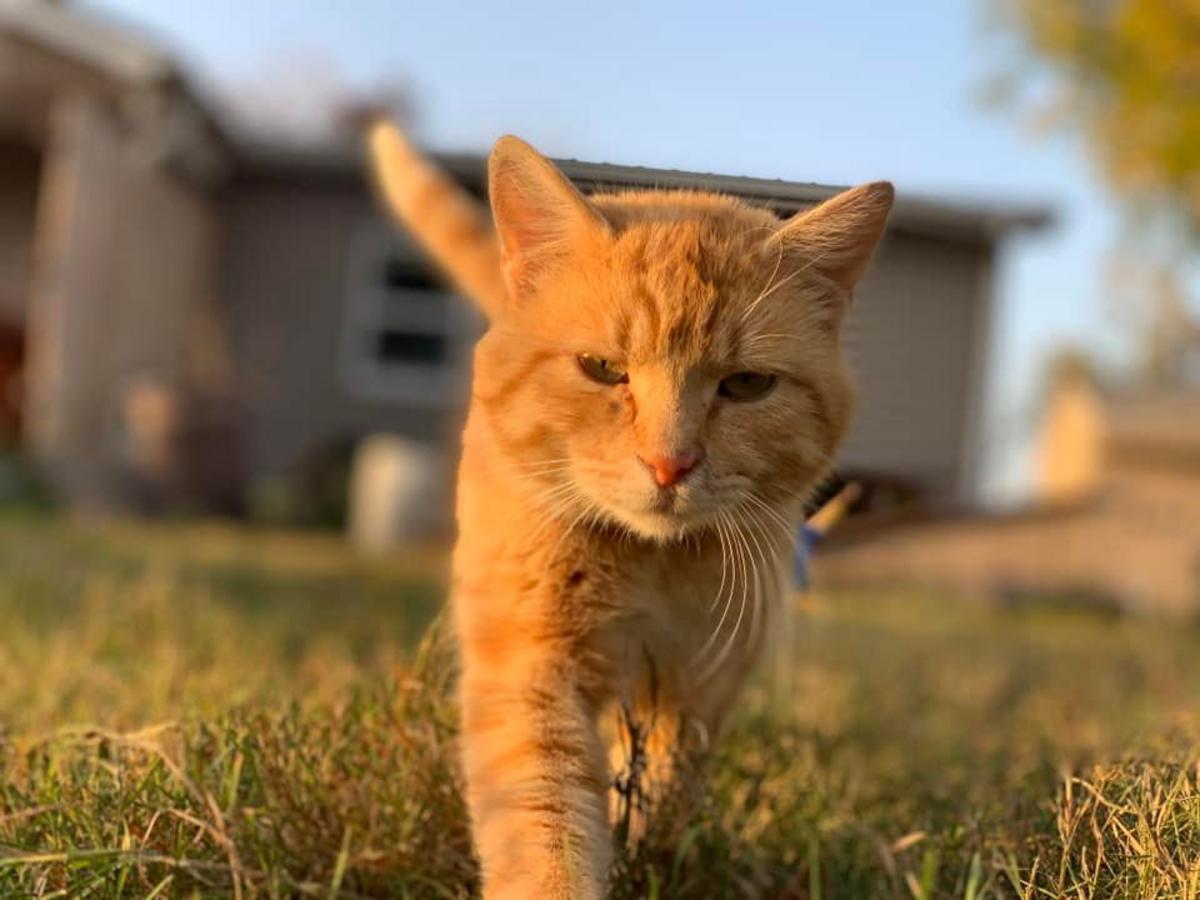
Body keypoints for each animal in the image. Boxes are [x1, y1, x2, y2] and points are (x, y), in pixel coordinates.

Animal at [367, 125, 892, 900]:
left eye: (746, 384)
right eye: (603, 369)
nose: (669, 464)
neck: (650, 562)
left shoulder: (701, 682)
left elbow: (667, 788)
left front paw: (647, 848)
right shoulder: (532, 670)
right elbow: (546, 819)